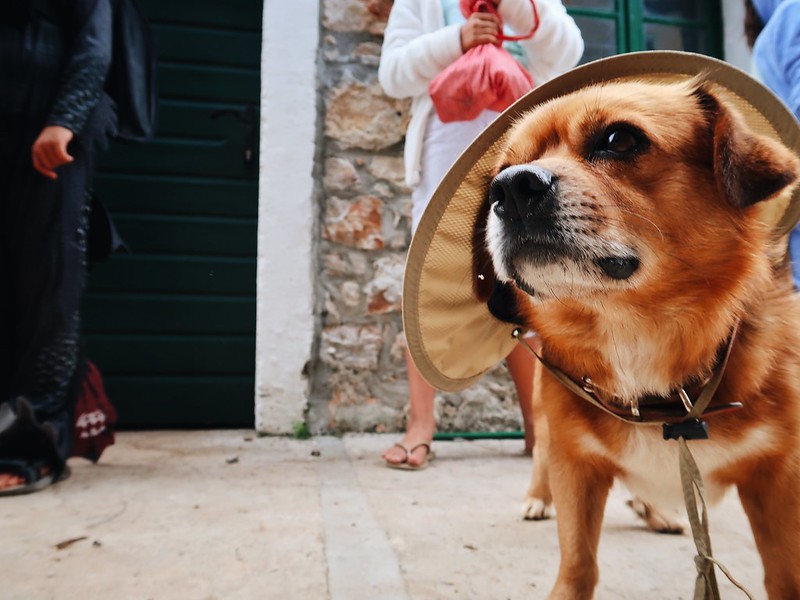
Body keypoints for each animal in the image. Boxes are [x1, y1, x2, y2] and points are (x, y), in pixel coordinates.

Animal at [484, 81, 800, 600]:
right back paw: (537, 499)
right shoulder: (576, 466)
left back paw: (654, 512)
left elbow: (784, 576)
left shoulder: (777, 479)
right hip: (548, 426)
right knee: (541, 458)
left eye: (620, 139)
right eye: (499, 172)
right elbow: (577, 565)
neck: (633, 336)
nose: (509, 188)